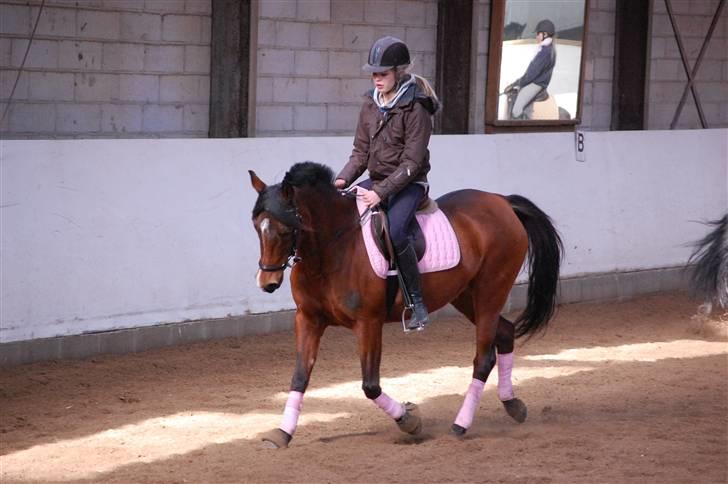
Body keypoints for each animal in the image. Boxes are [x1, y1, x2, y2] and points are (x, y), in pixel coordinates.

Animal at [249, 162, 563, 448]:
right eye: (256, 227)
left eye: (285, 229)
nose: (267, 282)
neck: (331, 250)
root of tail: (502, 201)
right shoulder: (308, 319)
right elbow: (300, 377)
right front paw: (283, 433)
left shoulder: (368, 323)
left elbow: (370, 385)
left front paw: (410, 420)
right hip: (466, 296)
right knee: (505, 333)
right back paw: (513, 404)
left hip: (490, 292)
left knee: (483, 359)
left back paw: (461, 424)